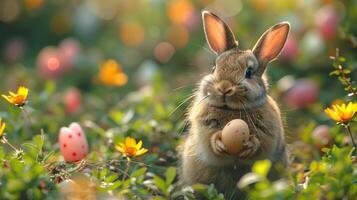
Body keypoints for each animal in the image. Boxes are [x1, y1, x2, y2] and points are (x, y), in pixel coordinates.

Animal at [178, 11, 290, 200]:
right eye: (214, 67)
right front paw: (219, 143)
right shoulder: (204, 128)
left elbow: (261, 143)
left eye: (249, 72)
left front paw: (250, 145)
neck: (231, 110)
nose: (224, 88)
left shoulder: (268, 133)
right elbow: (210, 139)